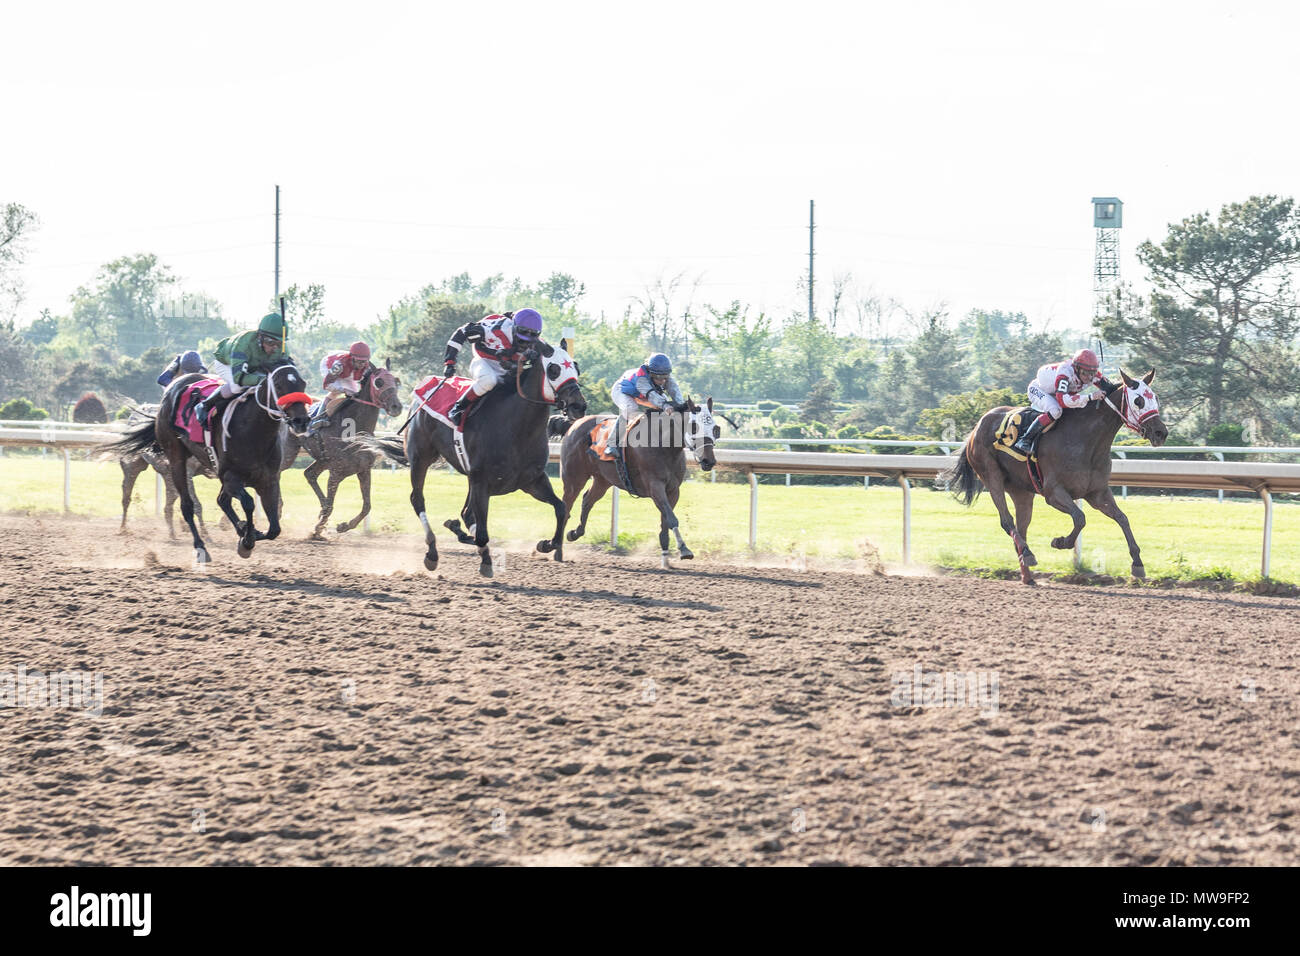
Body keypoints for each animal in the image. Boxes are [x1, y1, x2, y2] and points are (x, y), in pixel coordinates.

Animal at [104, 361, 312, 564]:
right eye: (278, 385)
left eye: (303, 384)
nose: (301, 421)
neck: (253, 430)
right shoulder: (230, 477)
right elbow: (248, 503)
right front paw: (246, 539)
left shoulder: (267, 480)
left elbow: (274, 528)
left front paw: (247, 532)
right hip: (173, 460)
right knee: (182, 503)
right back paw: (198, 545)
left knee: (218, 501)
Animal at [282, 361, 403, 538]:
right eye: (379, 382)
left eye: (396, 381)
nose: (397, 406)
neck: (352, 429)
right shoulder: (336, 473)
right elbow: (331, 505)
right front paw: (318, 528)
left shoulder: (364, 470)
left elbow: (367, 506)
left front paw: (343, 526)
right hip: (289, 453)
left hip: (322, 460)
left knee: (309, 474)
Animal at [366, 343, 590, 574]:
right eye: (553, 369)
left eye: (576, 367)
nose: (579, 406)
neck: (516, 429)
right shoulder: (482, 481)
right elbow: (482, 532)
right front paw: (485, 561)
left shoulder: (532, 480)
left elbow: (561, 509)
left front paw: (547, 544)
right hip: (421, 459)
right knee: (418, 499)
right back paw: (432, 552)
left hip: (469, 478)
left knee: (466, 514)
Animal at [559, 395, 722, 567]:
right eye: (693, 426)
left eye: (715, 427)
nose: (709, 461)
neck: (664, 445)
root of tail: (574, 424)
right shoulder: (655, 486)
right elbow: (671, 518)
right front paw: (684, 549)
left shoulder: (673, 490)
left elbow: (666, 521)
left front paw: (666, 559)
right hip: (574, 478)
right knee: (566, 506)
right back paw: (554, 548)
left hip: (603, 480)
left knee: (587, 500)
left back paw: (574, 533)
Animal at [941, 369, 1175, 587]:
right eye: (1138, 400)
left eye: (1155, 398)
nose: (1160, 433)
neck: (1085, 440)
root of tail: (975, 428)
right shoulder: (1053, 493)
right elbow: (1080, 518)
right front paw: (1060, 542)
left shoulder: (1097, 493)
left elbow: (1122, 518)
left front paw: (1138, 564)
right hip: (991, 476)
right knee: (1007, 521)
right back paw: (1028, 555)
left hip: (1021, 492)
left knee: (1021, 528)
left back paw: (1027, 575)